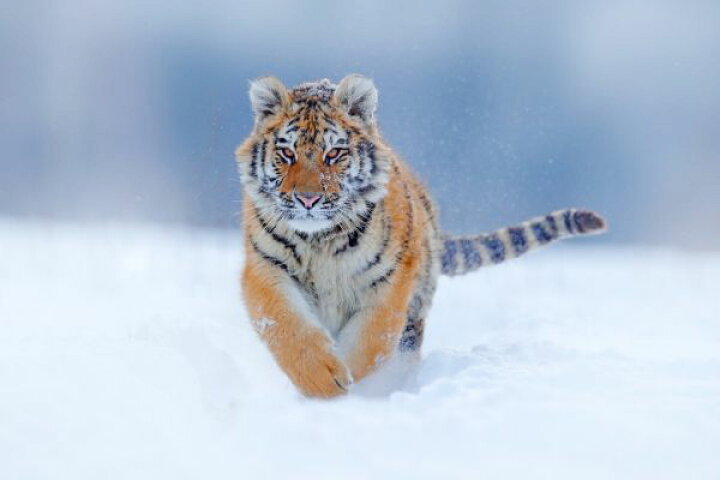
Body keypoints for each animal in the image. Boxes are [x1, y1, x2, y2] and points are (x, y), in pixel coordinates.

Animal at [235, 74, 607, 398]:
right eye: (287, 153)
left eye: (334, 153)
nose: (308, 200)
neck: (319, 241)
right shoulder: (266, 268)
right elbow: (287, 328)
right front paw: (325, 382)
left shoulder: (391, 277)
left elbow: (372, 338)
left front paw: (358, 386)